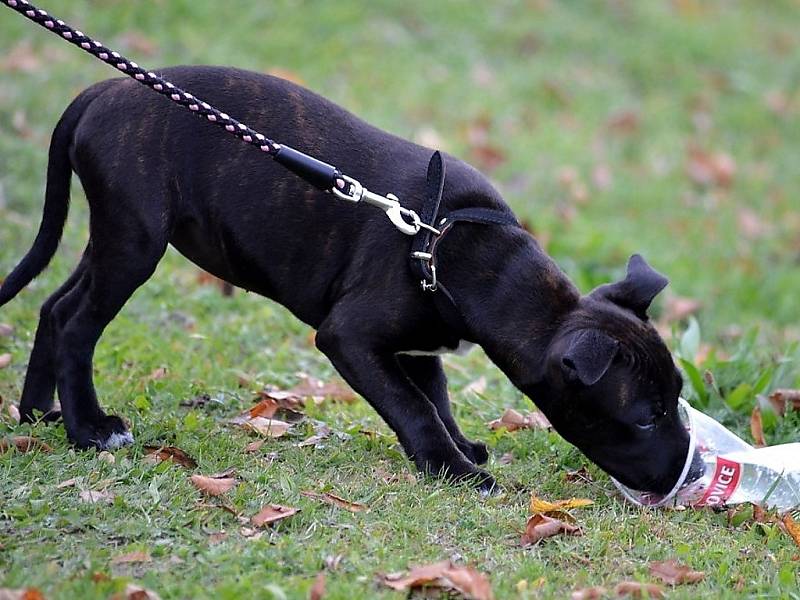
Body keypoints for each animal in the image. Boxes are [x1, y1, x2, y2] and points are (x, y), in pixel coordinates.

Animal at [0, 68, 688, 494]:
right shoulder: (350, 337)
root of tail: (102, 91)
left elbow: (435, 397)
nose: (683, 469)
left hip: (117, 237)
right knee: (76, 322)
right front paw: (453, 470)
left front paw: (460, 449)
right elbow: (412, 406)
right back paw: (89, 430)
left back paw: (38, 414)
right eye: (646, 418)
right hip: (135, 239)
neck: (459, 247)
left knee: (55, 306)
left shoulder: (418, 347)